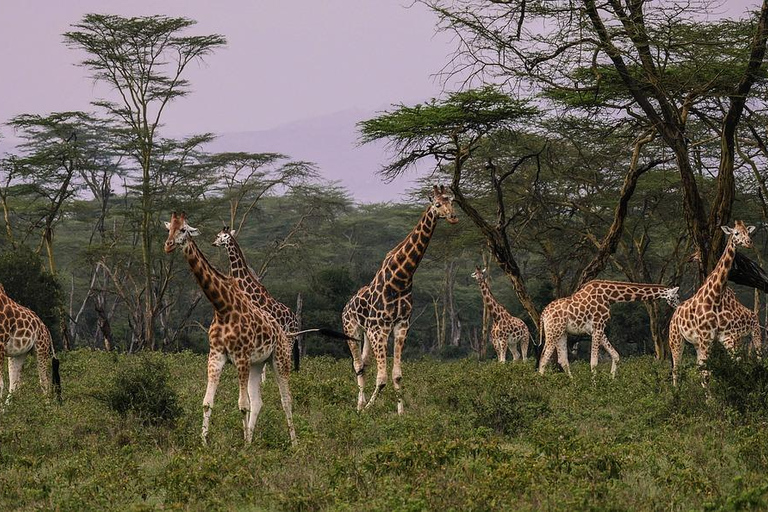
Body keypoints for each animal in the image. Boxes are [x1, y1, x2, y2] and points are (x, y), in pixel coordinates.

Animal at [340, 184, 456, 412]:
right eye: (438, 204)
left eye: (452, 201)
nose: (453, 216)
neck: (401, 279)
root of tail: (346, 306)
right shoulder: (380, 329)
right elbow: (382, 378)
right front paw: (368, 410)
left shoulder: (401, 325)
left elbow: (397, 376)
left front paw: (401, 413)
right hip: (352, 330)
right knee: (357, 365)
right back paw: (359, 407)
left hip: (367, 333)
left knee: (364, 364)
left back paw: (361, 403)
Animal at [536, 278, 680, 378]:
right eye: (677, 296)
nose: (679, 305)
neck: (610, 296)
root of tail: (543, 315)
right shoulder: (598, 326)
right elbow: (594, 362)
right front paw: (594, 386)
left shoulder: (597, 328)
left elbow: (616, 355)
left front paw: (611, 380)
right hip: (553, 332)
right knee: (543, 358)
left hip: (561, 333)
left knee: (562, 360)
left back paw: (572, 383)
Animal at [668, 219, 760, 384]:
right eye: (736, 233)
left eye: (748, 232)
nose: (749, 242)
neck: (715, 298)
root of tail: (675, 313)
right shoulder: (707, 338)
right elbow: (707, 372)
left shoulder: (722, 337)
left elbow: (730, 366)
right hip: (676, 339)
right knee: (676, 370)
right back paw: (675, 391)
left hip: (699, 342)